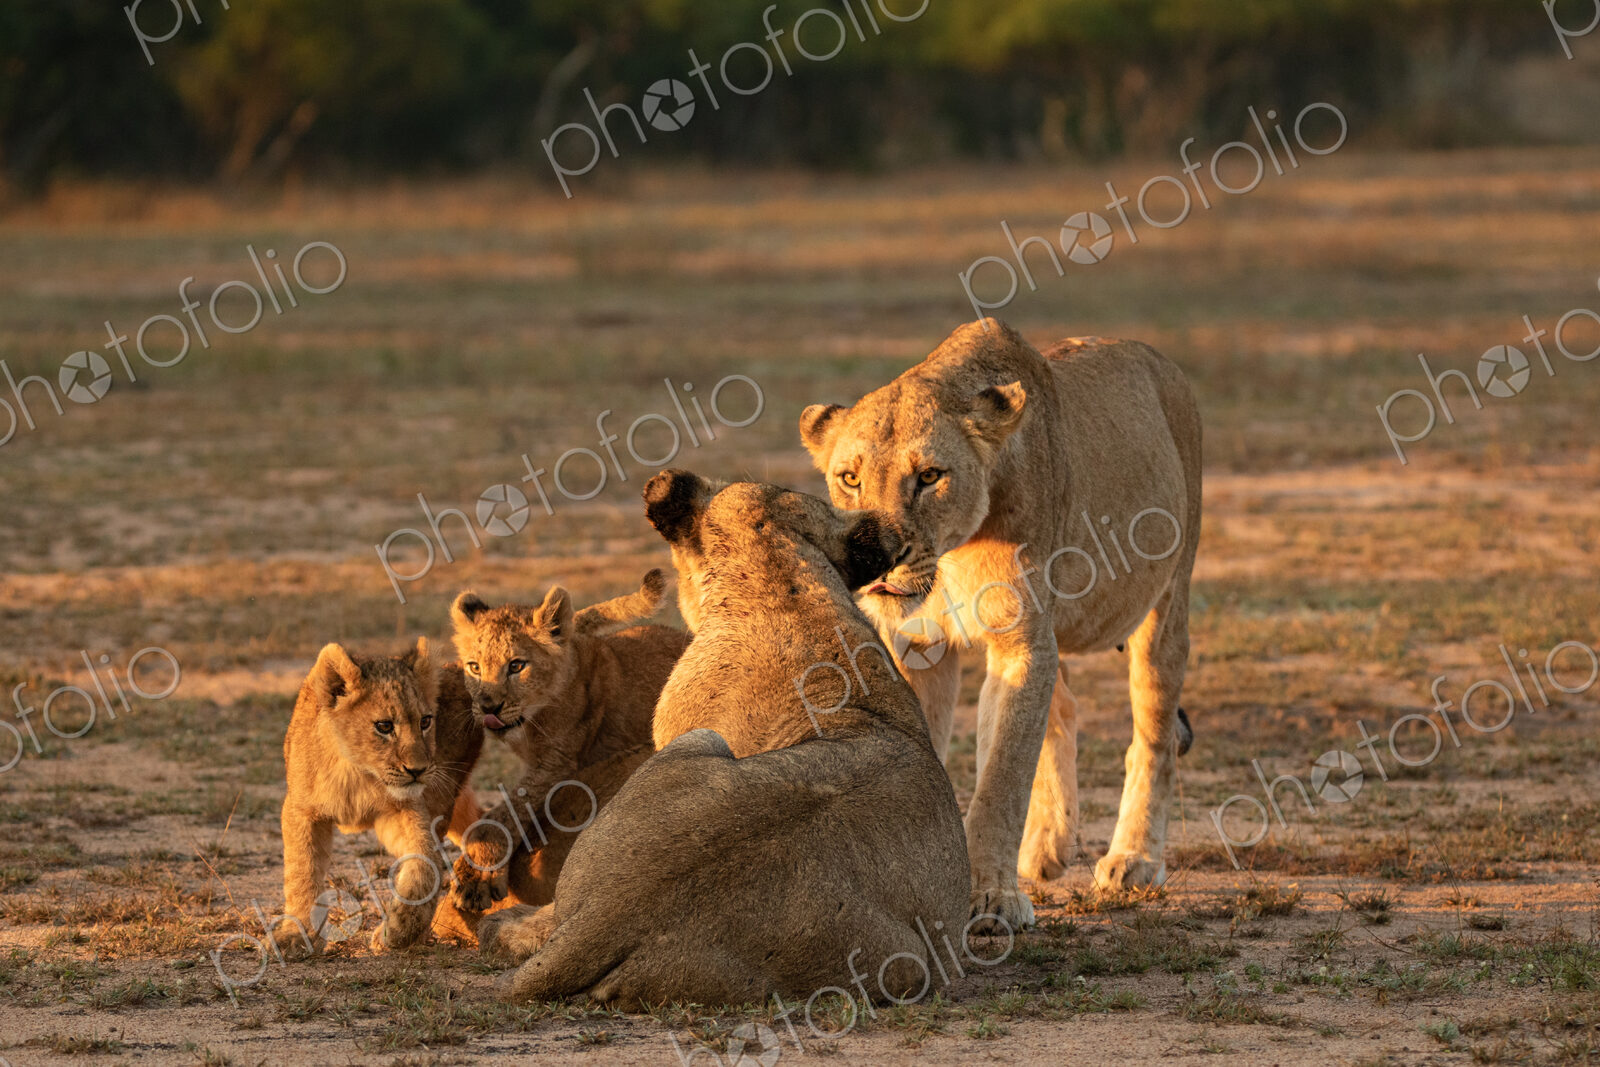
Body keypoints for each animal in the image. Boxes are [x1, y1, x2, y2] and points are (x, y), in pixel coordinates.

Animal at [271, 638, 484, 956]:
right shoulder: (302, 810)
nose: (418, 770)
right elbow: (302, 872)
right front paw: (298, 936)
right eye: (384, 726)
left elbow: (426, 862)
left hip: (443, 789)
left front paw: (398, 929)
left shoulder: (405, 809)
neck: (358, 773)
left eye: (425, 721)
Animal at [446, 570, 690, 912]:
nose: (488, 707)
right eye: (474, 667)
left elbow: (505, 811)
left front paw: (474, 878)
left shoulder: (558, 761)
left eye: (516, 665)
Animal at [798, 319, 1202, 929]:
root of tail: (1162, 362)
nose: (877, 559)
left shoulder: (1021, 642)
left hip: (1166, 601)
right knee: (1065, 706)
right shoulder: (919, 645)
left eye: (929, 476)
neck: (952, 554)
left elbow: (1002, 776)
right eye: (849, 478)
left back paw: (1133, 859)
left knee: (1151, 735)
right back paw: (1046, 846)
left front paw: (991, 897)